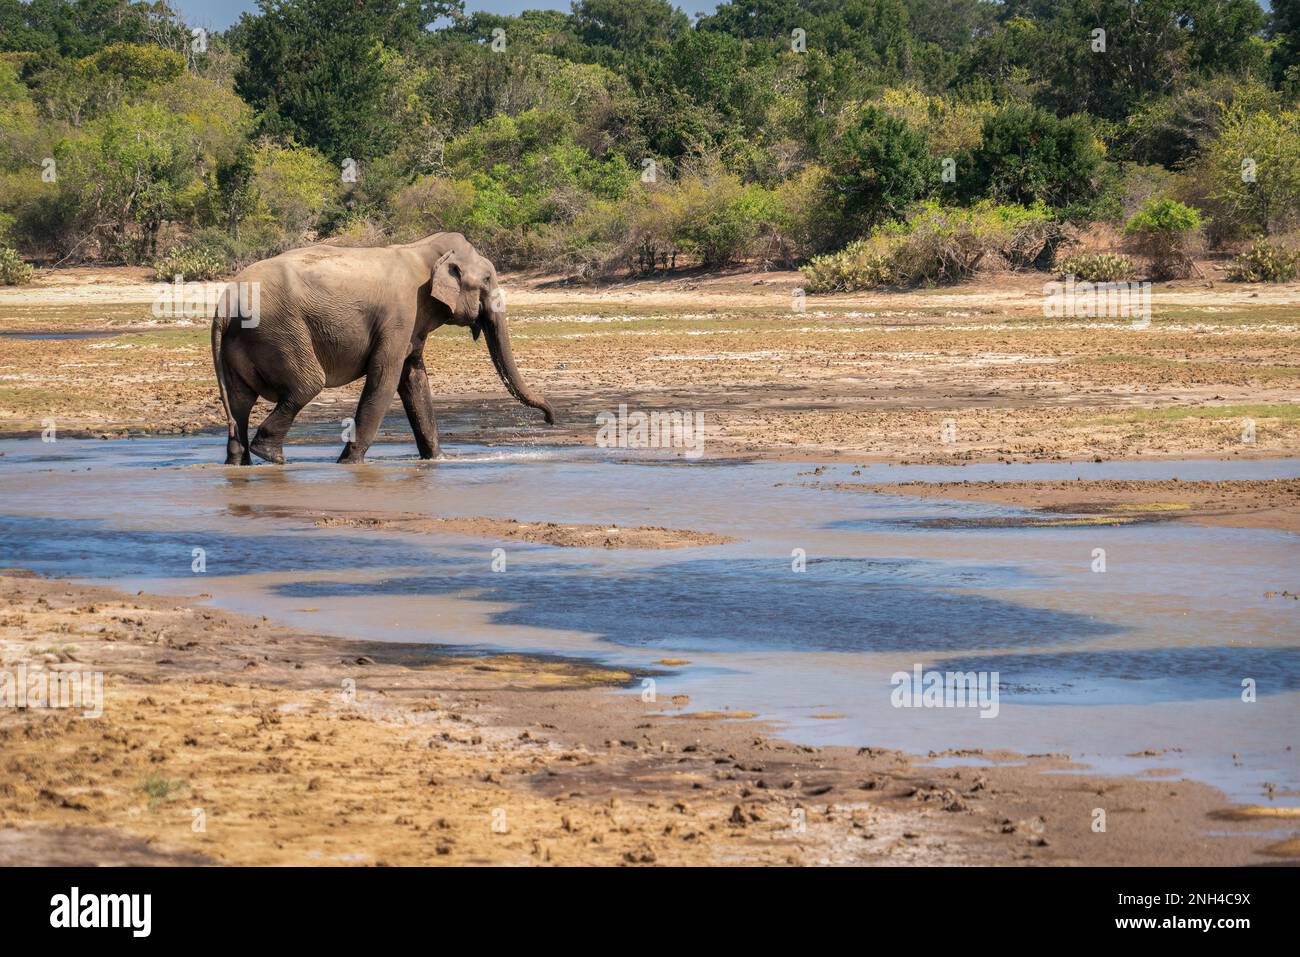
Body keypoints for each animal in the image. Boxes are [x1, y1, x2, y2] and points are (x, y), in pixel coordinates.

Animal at [210, 232, 554, 465]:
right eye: (486, 280)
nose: (549, 420)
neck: (424, 251)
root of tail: (223, 307)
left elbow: (413, 378)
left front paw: (438, 460)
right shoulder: (400, 314)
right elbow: (385, 378)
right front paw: (349, 464)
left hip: (244, 342)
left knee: (240, 402)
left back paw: (241, 462)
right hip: (281, 331)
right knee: (307, 384)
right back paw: (272, 456)